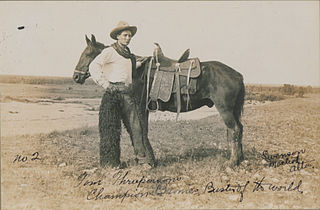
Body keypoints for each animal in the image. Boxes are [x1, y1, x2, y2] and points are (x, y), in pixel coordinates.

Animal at [74, 35, 245, 168]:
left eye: (88, 54)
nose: (76, 76)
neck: (135, 72)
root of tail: (238, 74)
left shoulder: (141, 107)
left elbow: (141, 130)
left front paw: (148, 160)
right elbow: (140, 130)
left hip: (225, 109)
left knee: (234, 129)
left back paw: (231, 162)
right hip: (233, 110)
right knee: (238, 129)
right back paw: (240, 159)